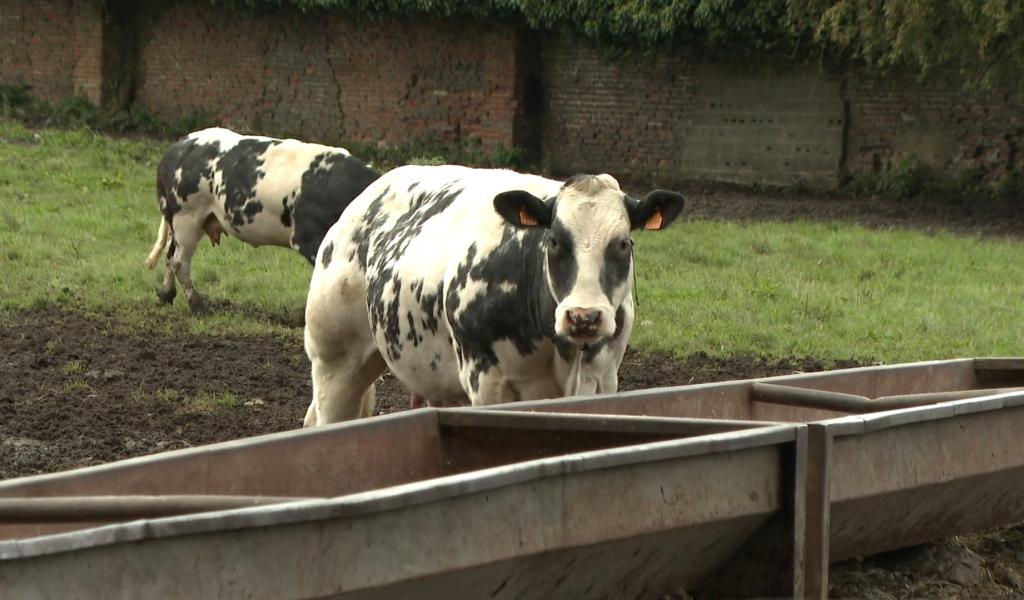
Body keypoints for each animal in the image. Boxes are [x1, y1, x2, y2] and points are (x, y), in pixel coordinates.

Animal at [144, 127, 380, 311]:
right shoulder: (309, 239)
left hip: (186, 220)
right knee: (178, 261)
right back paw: (197, 304)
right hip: (187, 217)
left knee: (169, 255)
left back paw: (166, 295)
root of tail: (178, 146)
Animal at [303, 164, 688, 425]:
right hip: (334, 359)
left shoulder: (602, 379)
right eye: (554, 241)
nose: (584, 316)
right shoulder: (487, 381)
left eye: (623, 243)